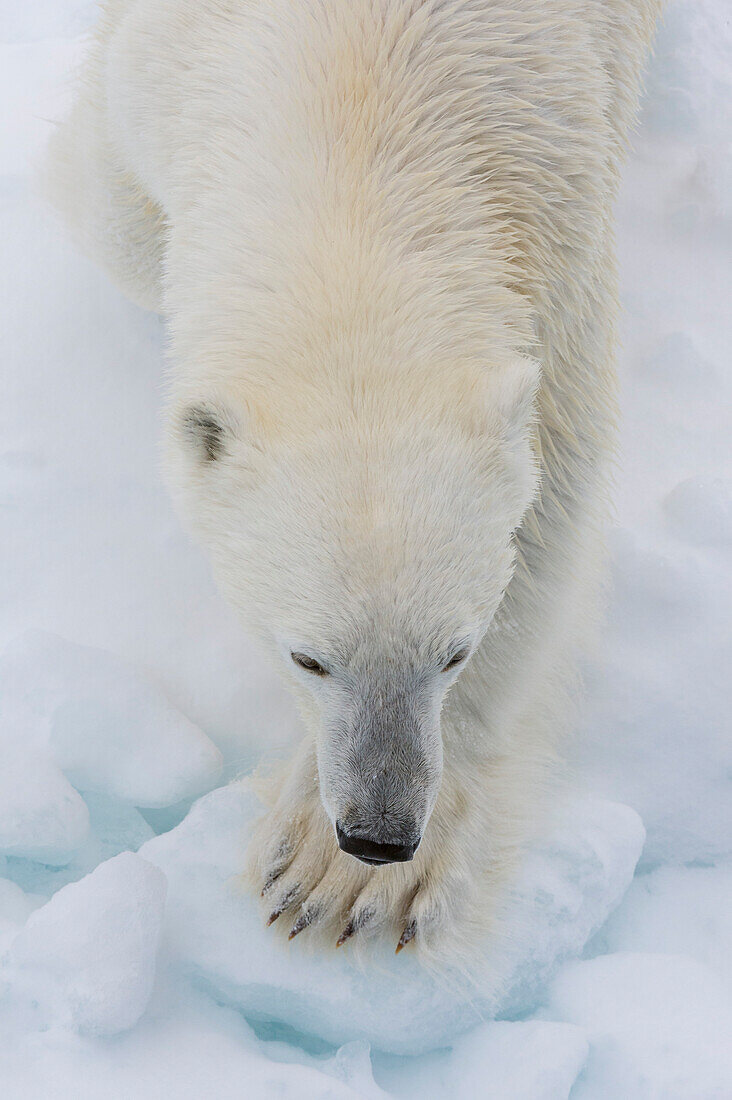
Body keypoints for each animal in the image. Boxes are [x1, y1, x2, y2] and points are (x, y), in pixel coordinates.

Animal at [45, 0, 660, 963]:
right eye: (306, 656)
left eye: (455, 652)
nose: (378, 834)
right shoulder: (145, 81)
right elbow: (122, 228)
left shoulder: (560, 251)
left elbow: (552, 505)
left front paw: (335, 883)